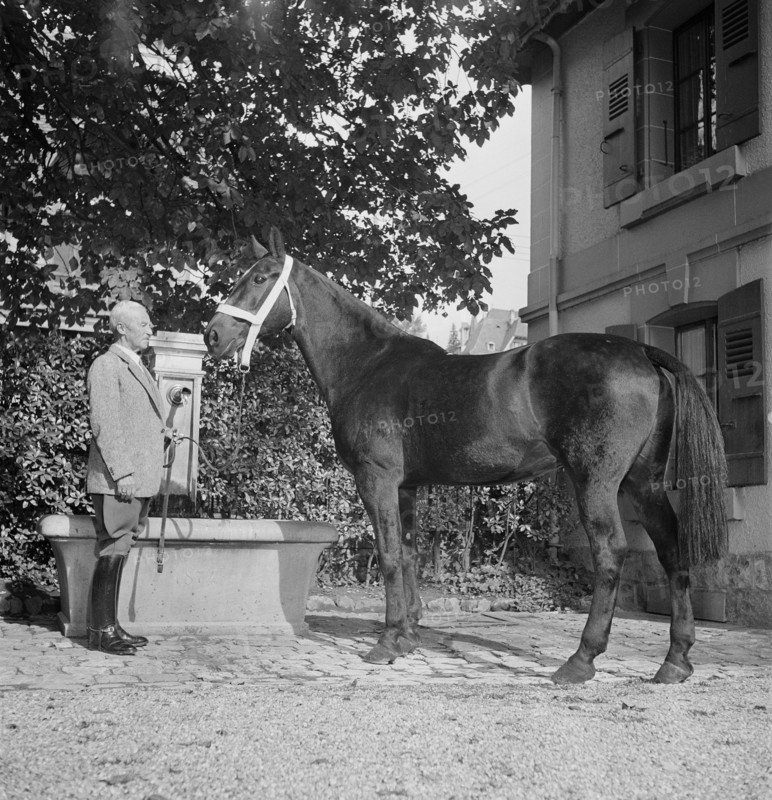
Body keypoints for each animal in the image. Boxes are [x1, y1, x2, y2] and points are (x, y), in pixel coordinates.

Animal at [204, 230, 727, 684]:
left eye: (260, 278)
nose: (212, 335)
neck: (367, 364)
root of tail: (640, 351)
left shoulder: (376, 479)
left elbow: (388, 555)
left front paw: (386, 643)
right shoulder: (407, 487)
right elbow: (409, 554)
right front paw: (408, 636)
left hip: (597, 482)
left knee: (612, 553)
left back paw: (581, 660)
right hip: (644, 482)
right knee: (672, 550)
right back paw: (675, 662)